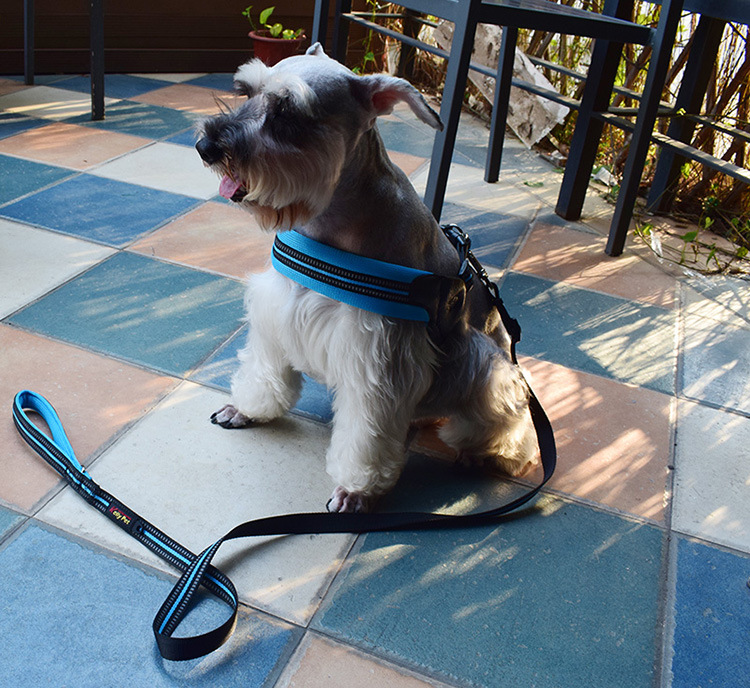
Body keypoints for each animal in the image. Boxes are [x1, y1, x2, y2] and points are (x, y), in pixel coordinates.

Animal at [196, 44, 537, 513]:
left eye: (288, 112)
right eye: (246, 90)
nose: (205, 146)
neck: (329, 221)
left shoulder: (379, 360)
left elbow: (366, 435)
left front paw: (356, 490)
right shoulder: (276, 312)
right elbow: (263, 370)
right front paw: (246, 409)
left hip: (489, 370)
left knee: (511, 422)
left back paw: (490, 454)